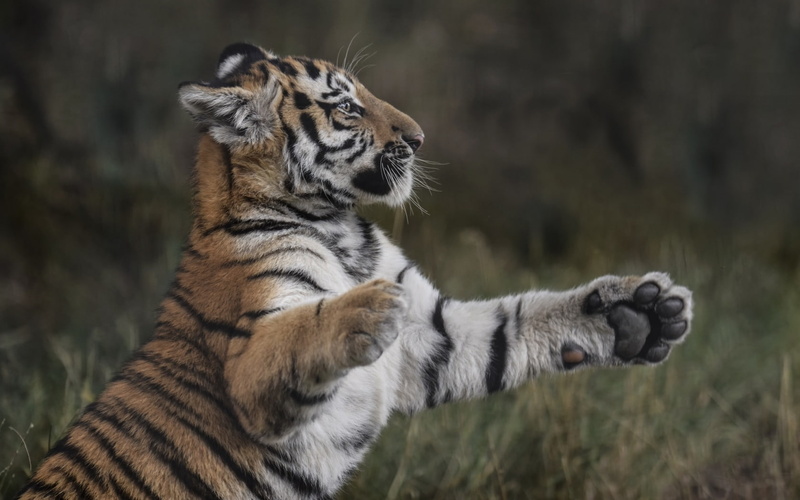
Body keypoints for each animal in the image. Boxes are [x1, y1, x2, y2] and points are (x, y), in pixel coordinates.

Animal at [17, 42, 694, 500]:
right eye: (345, 106)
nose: (419, 138)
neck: (338, 226)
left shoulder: (432, 339)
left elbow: (521, 322)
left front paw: (639, 314)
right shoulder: (250, 371)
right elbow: (300, 332)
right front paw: (369, 303)